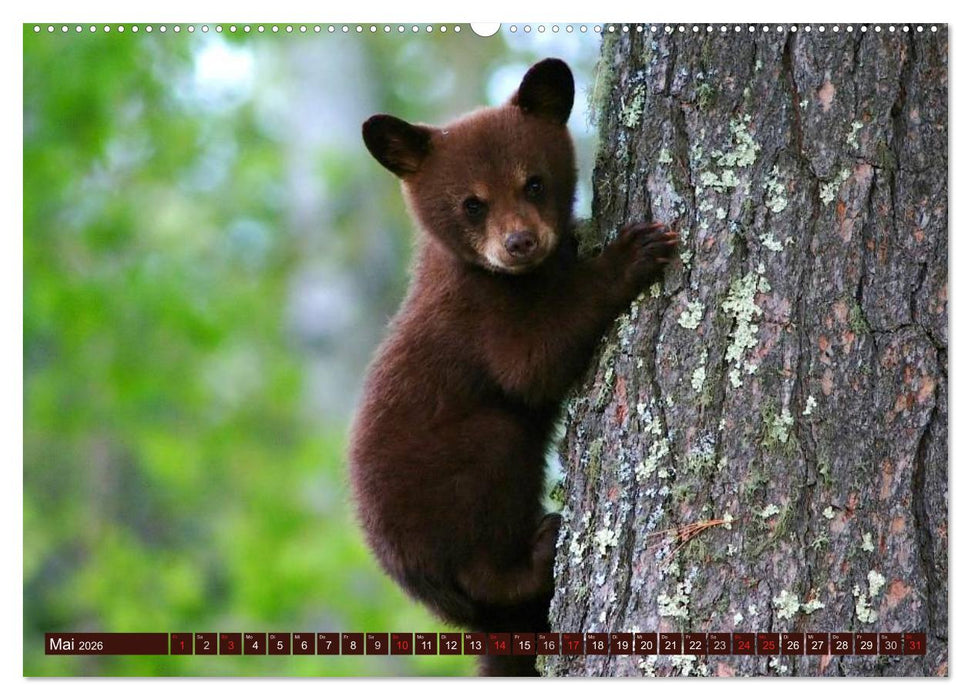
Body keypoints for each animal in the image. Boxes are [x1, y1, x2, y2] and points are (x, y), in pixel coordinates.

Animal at [349, 58, 678, 676]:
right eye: (471, 203)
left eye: (534, 182)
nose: (520, 242)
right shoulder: (478, 314)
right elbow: (532, 363)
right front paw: (633, 252)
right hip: (454, 482)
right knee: (487, 515)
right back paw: (540, 550)